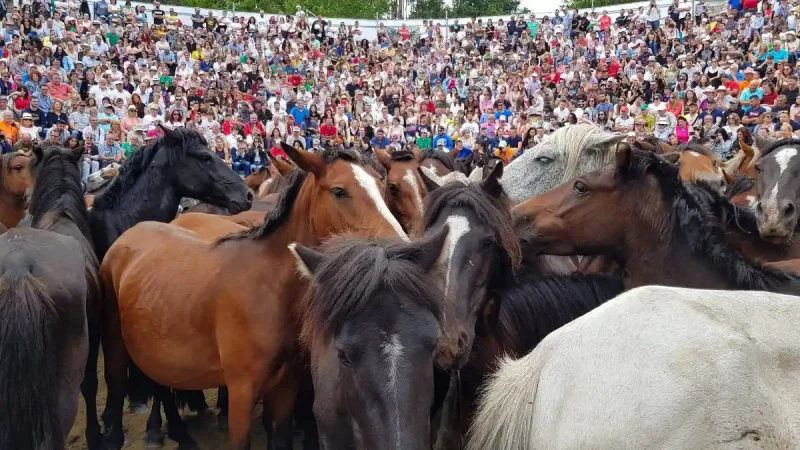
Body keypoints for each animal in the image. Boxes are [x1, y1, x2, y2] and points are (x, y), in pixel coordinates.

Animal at [99, 145, 409, 450]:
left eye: (383, 186)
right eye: (339, 191)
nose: (400, 248)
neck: (270, 287)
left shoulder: (286, 387)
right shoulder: (241, 392)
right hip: (115, 349)